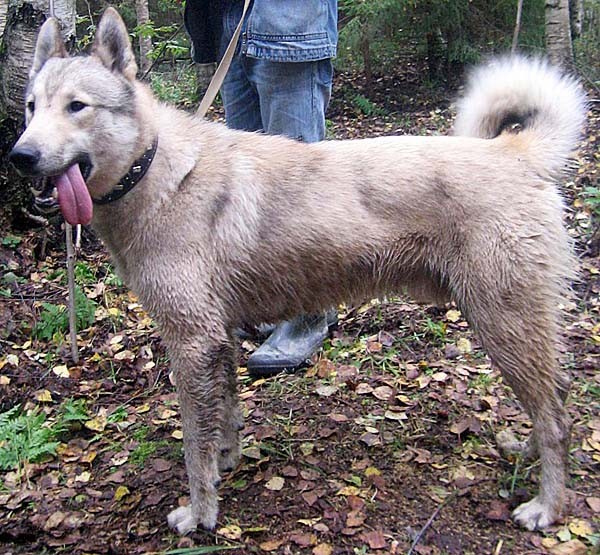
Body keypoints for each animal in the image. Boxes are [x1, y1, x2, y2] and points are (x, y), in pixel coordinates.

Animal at [10, 8, 586, 535]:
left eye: (77, 106)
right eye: (32, 107)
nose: (20, 155)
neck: (157, 170)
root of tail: (513, 152)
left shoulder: (191, 343)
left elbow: (193, 445)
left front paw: (200, 513)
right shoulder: (218, 339)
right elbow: (224, 419)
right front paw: (225, 463)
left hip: (501, 324)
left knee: (557, 417)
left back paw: (547, 506)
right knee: (556, 396)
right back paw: (526, 451)